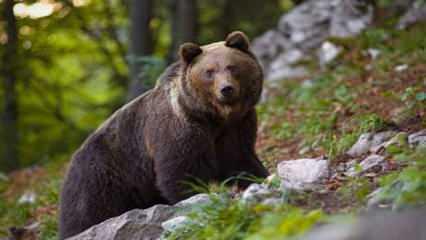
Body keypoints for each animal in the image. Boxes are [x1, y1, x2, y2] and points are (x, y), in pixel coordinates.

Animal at [58, 31, 268, 239]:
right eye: (209, 72)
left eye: (232, 67)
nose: (226, 89)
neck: (213, 117)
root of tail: (69, 163)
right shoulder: (179, 129)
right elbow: (181, 172)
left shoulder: (236, 127)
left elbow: (240, 160)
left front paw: (258, 178)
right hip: (100, 177)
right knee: (87, 214)